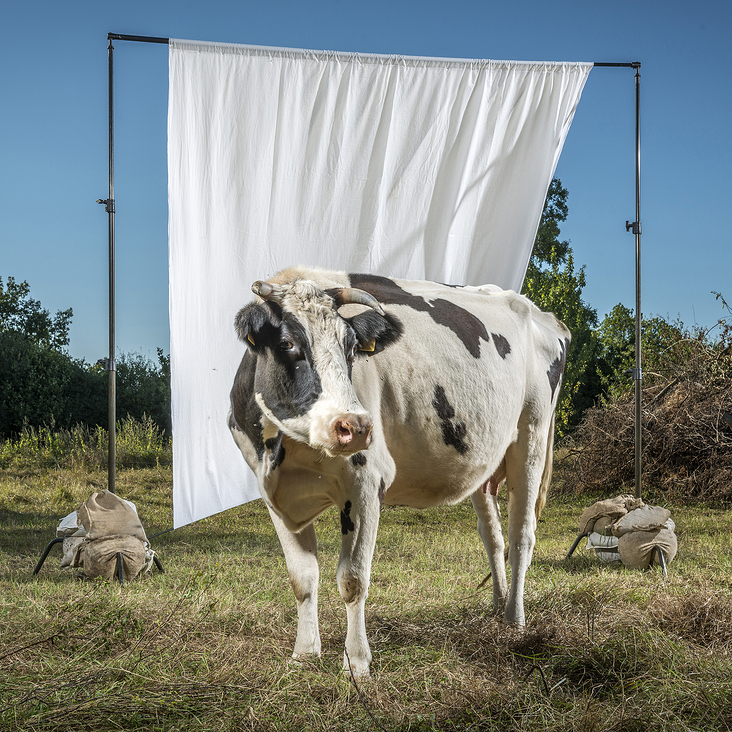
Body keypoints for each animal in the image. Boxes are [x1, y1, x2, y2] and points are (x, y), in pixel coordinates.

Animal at [229, 266, 572, 676]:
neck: (287, 452)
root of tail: (540, 312)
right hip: (486, 457)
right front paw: (304, 653)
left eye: (351, 347)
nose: (356, 426)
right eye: (287, 342)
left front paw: (356, 663)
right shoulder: (272, 493)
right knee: (494, 536)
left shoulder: (365, 482)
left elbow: (352, 578)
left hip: (532, 435)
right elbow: (302, 578)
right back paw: (497, 607)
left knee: (522, 535)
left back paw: (515, 621)